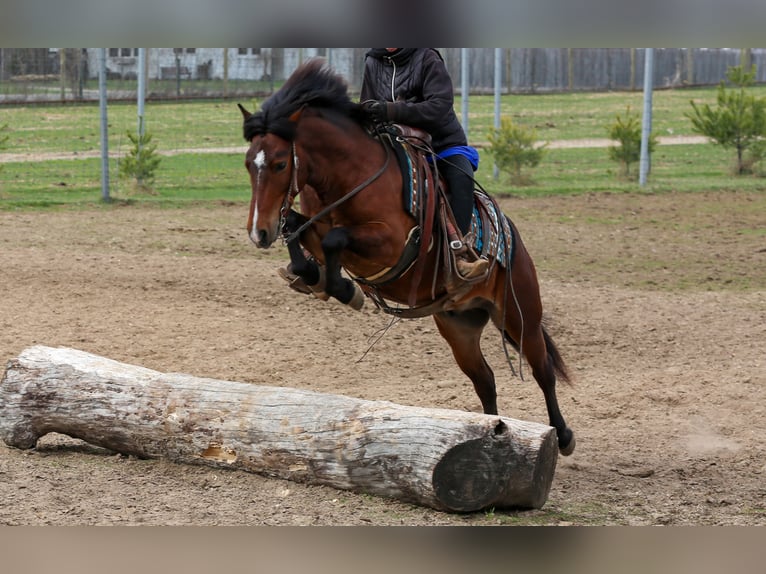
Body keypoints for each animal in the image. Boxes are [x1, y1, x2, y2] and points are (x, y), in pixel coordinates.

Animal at [239, 59, 575, 455]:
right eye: (248, 163)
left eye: (279, 163)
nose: (259, 232)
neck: (351, 175)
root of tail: (511, 235)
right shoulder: (314, 227)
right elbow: (295, 226)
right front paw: (312, 276)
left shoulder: (393, 243)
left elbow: (336, 239)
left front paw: (343, 289)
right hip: (460, 328)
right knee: (485, 380)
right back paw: (491, 436)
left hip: (520, 314)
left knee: (542, 370)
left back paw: (563, 436)